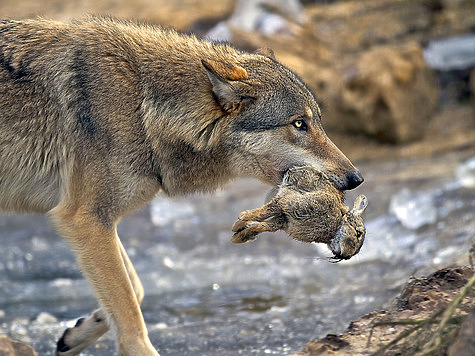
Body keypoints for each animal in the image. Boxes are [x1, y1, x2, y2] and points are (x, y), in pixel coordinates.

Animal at [0, 16, 364, 354]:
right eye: (299, 124)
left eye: (318, 122)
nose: (357, 179)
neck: (142, 105)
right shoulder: (84, 218)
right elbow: (130, 317)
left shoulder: (97, 223)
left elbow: (134, 288)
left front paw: (79, 332)